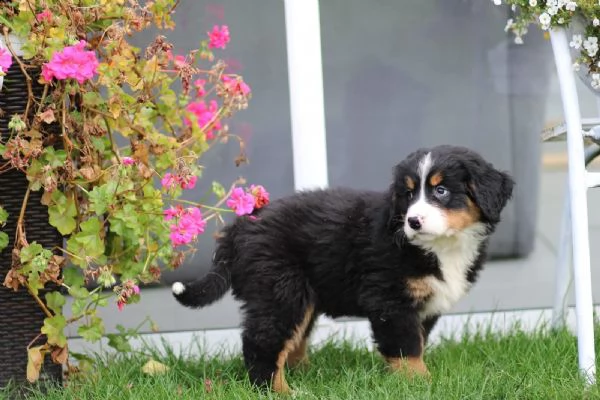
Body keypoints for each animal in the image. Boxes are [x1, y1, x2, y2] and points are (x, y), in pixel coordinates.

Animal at [172, 145, 516, 394]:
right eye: (408, 195)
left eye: (441, 191)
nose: (413, 221)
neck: (441, 247)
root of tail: (240, 226)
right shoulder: (390, 301)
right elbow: (407, 349)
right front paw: (421, 384)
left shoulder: (424, 306)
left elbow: (417, 342)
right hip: (279, 291)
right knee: (262, 344)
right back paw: (282, 392)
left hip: (300, 298)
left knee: (291, 343)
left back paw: (311, 376)